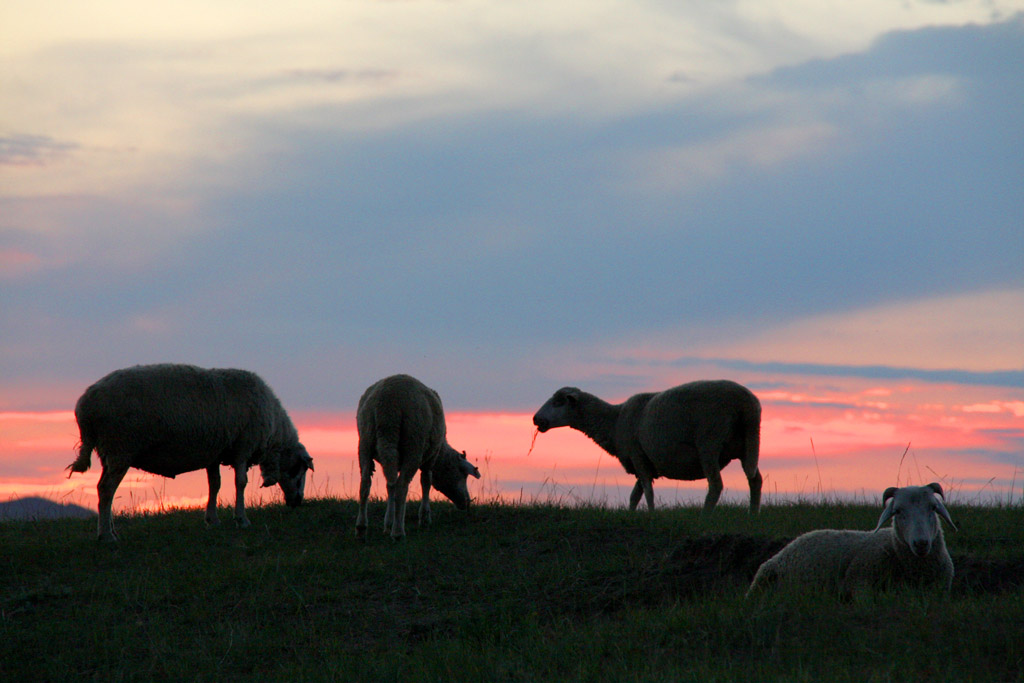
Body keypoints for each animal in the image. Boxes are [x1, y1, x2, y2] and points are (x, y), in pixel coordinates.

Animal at [66, 366, 313, 540]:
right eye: (298, 470)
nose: (297, 502)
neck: (274, 435)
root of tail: (84, 405)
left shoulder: (214, 452)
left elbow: (215, 484)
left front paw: (212, 520)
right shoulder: (242, 447)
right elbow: (240, 483)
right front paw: (242, 520)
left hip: (110, 452)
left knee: (103, 488)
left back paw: (111, 531)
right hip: (120, 448)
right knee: (106, 490)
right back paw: (106, 536)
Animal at [356, 374, 483, 540]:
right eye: (463, 474)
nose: (467, 503)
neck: (442, 454)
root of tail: (388, 402)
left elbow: (390, 486)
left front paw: (388, 522)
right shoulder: (431, 458)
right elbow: (426, 482)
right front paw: (424, 519)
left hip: (367, 440)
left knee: (367, 483)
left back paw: (362, 528)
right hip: (414, 443)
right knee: (401, 486)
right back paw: (398, 533)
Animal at [532, 378, 765, 511]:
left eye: (558, 402)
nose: (536, 419)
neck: (614, 421)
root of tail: (747, 403)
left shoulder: (638, 457)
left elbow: (648, 492)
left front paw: (652, 515)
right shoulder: (643, 463)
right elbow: (635, 496)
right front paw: (631, 516)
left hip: (709, 442)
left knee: (716, 485)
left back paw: (705, 517)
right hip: (747, 443)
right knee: (755, 480)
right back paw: (752, 515)